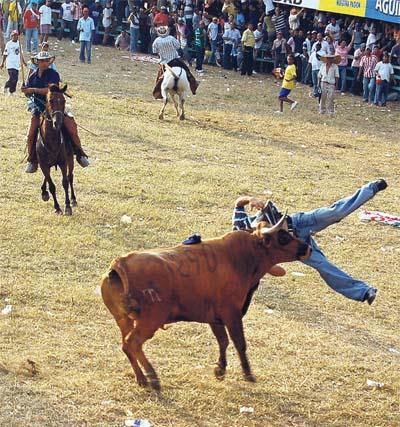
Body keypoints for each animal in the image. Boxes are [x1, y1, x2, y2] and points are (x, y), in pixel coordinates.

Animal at [38, 85, 77, 216]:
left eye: (64, 100)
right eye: (50, 100)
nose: (58, 123)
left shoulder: (63, 162)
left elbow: (65, 182)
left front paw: (67, 207)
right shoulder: (43, 165)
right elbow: (52, 186)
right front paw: (57, 207)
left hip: (70, 159)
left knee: (70, 176)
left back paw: (73, 199)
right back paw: (44, 192)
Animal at [101, 217, 312, 392]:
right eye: (283, 237)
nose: (307, 248)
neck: (242, 257)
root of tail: (120, 263)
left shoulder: (214, 318)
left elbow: (223, 341)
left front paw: (220, 369)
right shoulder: (232, 313)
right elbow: (239, 342)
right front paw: (248, 374)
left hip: (124, 320)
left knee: (126, 345)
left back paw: (142, 379)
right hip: (149, 322)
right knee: (133, 342)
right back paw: (153, 377)